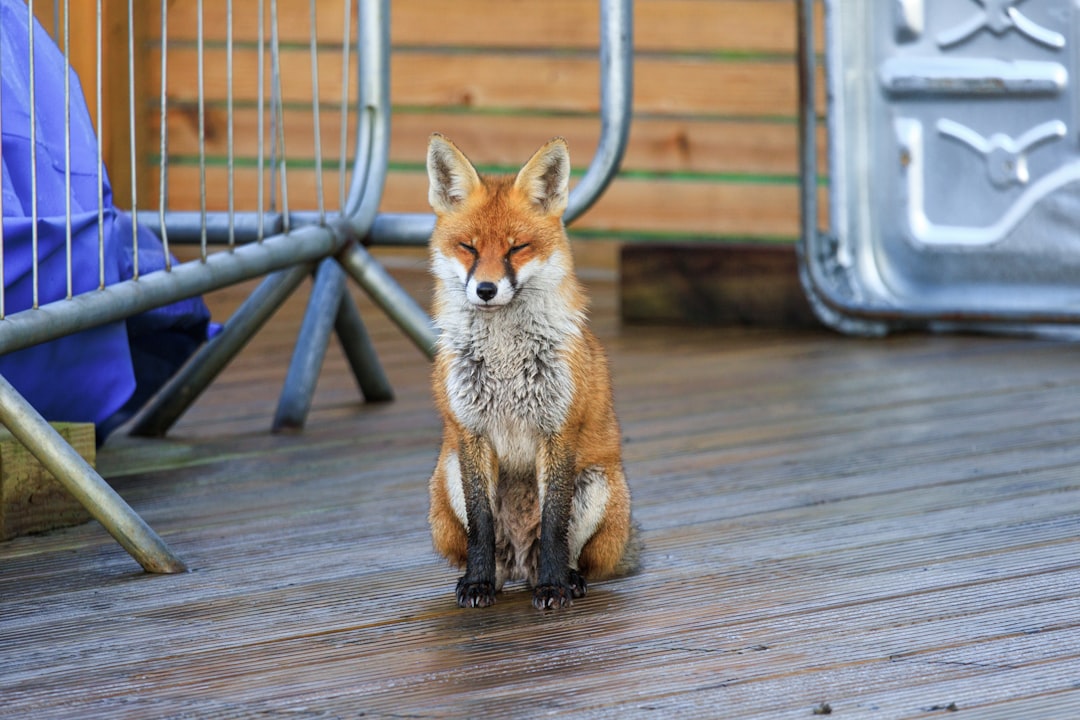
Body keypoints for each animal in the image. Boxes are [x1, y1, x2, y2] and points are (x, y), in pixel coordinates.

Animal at [425, 133, 641, 610]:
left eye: (516, 247)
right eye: (469, 247)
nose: (486, 289)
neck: (505, 359)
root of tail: (520, 566)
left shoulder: (557, 430)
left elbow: (554, 523)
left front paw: (555, 585)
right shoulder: (471, 431)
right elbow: (482, 524)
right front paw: (477, 583)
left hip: (598, 483)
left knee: (565, 549)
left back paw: (566, 579)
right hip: (445, 478)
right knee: (494, 552)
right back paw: (493, 579)